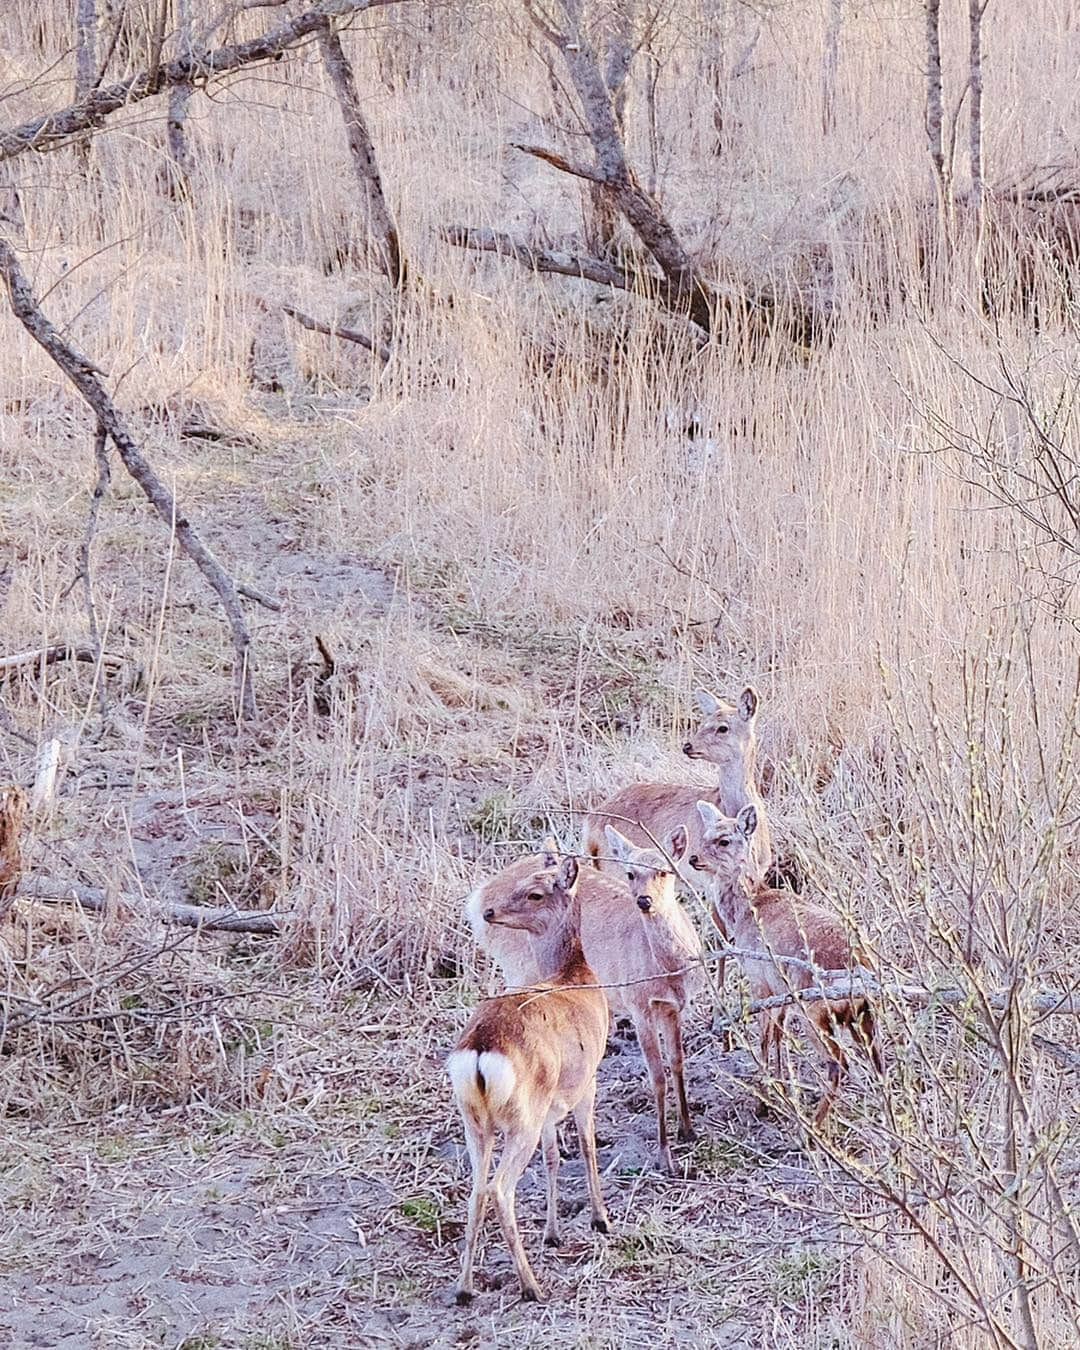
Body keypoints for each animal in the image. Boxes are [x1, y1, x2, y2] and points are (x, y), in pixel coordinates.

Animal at [448, 847, 615, 1301]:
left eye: (535, 891)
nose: (489, 911)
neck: (577, 975)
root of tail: (480, 1052)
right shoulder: (587, 1081)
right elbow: (588, 1147)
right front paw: (600, 1219)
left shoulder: (550, 1109)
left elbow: (554, 1157)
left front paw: (553, 1233)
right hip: (519, 1119)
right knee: (500, 1189)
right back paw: (531, 1286)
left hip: (476, 1122)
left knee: (476, 1189)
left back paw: (465, 1287)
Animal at [467, 826, 702, 1177]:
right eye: (630, 873)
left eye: (664, 870)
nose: (644, 901)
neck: (666, 968)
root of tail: (477, 898)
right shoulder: (638, 1005)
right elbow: (657, 1075)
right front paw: (664, 1155)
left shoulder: (673, 1007)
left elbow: (677, 1062)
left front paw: (687, 1129)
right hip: (520, 968)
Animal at [688, 799, 880, 1128]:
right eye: (704, 835)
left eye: (724, 840)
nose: (693, 858)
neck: (748, 908)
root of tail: (859, 968)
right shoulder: (782, 994)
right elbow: (778, 1036)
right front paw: (780, 1088)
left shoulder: (760, 981)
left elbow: (765, 1038)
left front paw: (764, 1102)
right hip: (862, 1015)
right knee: (877, 1061)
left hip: (815, 1012)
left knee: (838, 1063)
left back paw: (813, 1127)